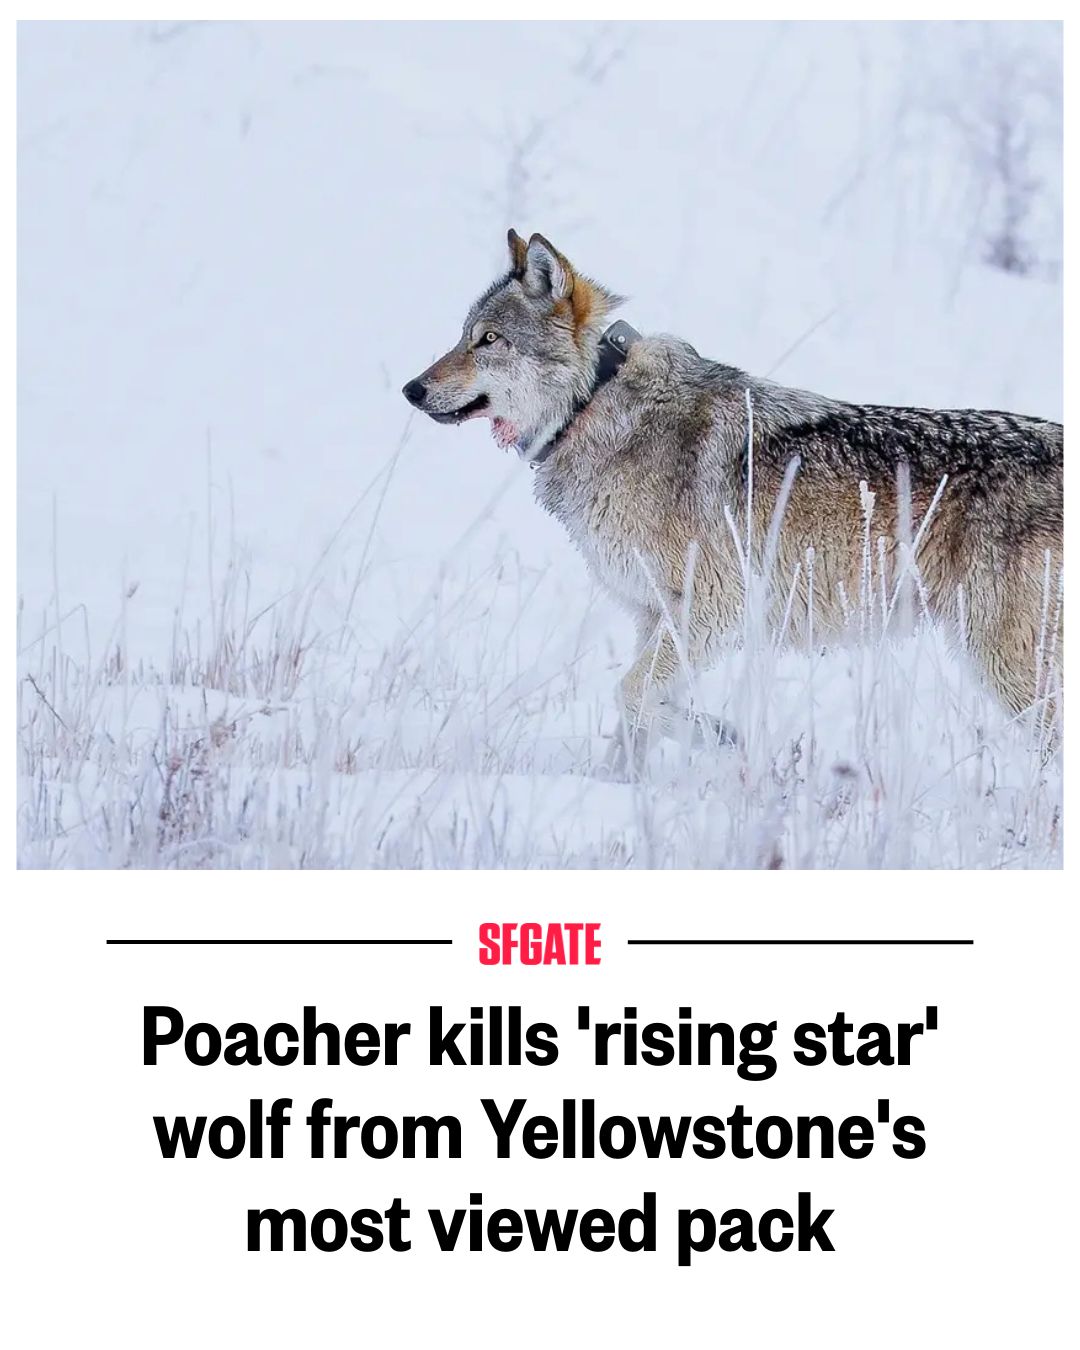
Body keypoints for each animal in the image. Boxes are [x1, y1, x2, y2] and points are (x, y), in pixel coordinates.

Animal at [404, 230, 1063, 761]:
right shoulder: (655, 616)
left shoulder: (713, 607)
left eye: (489, 340)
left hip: (1009, 667)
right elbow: (633, 720)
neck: (595, 402)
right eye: (462, 336)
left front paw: (722, 738)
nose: (411, 389)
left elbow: (631, 695)